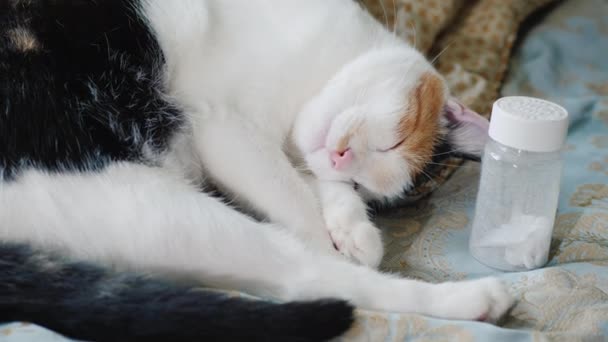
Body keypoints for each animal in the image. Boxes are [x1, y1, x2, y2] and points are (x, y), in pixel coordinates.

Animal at [0, 1, 510, 340]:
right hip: (142, 202)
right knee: (309, 272)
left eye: (361, 183)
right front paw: (343, 233)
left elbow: (309, 186)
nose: (341, 159)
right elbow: (294, 198)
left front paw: (352, 225)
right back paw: (476, 299)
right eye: (396, 140)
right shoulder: (224, 129)